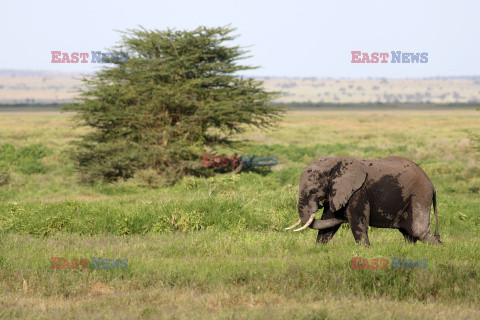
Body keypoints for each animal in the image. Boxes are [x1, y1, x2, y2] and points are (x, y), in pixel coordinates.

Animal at [284, 156, 442, 246]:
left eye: (313, 191)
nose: (343, 218)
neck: (336, 164)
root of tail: (432, 185)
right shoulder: (336, 192)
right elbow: (327, 224)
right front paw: (319, 249)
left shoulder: (358, 192)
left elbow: (358, 221)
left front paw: (364, 250)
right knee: (408, 234)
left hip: (419, 196)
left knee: (418, 231)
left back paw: (439, 248)